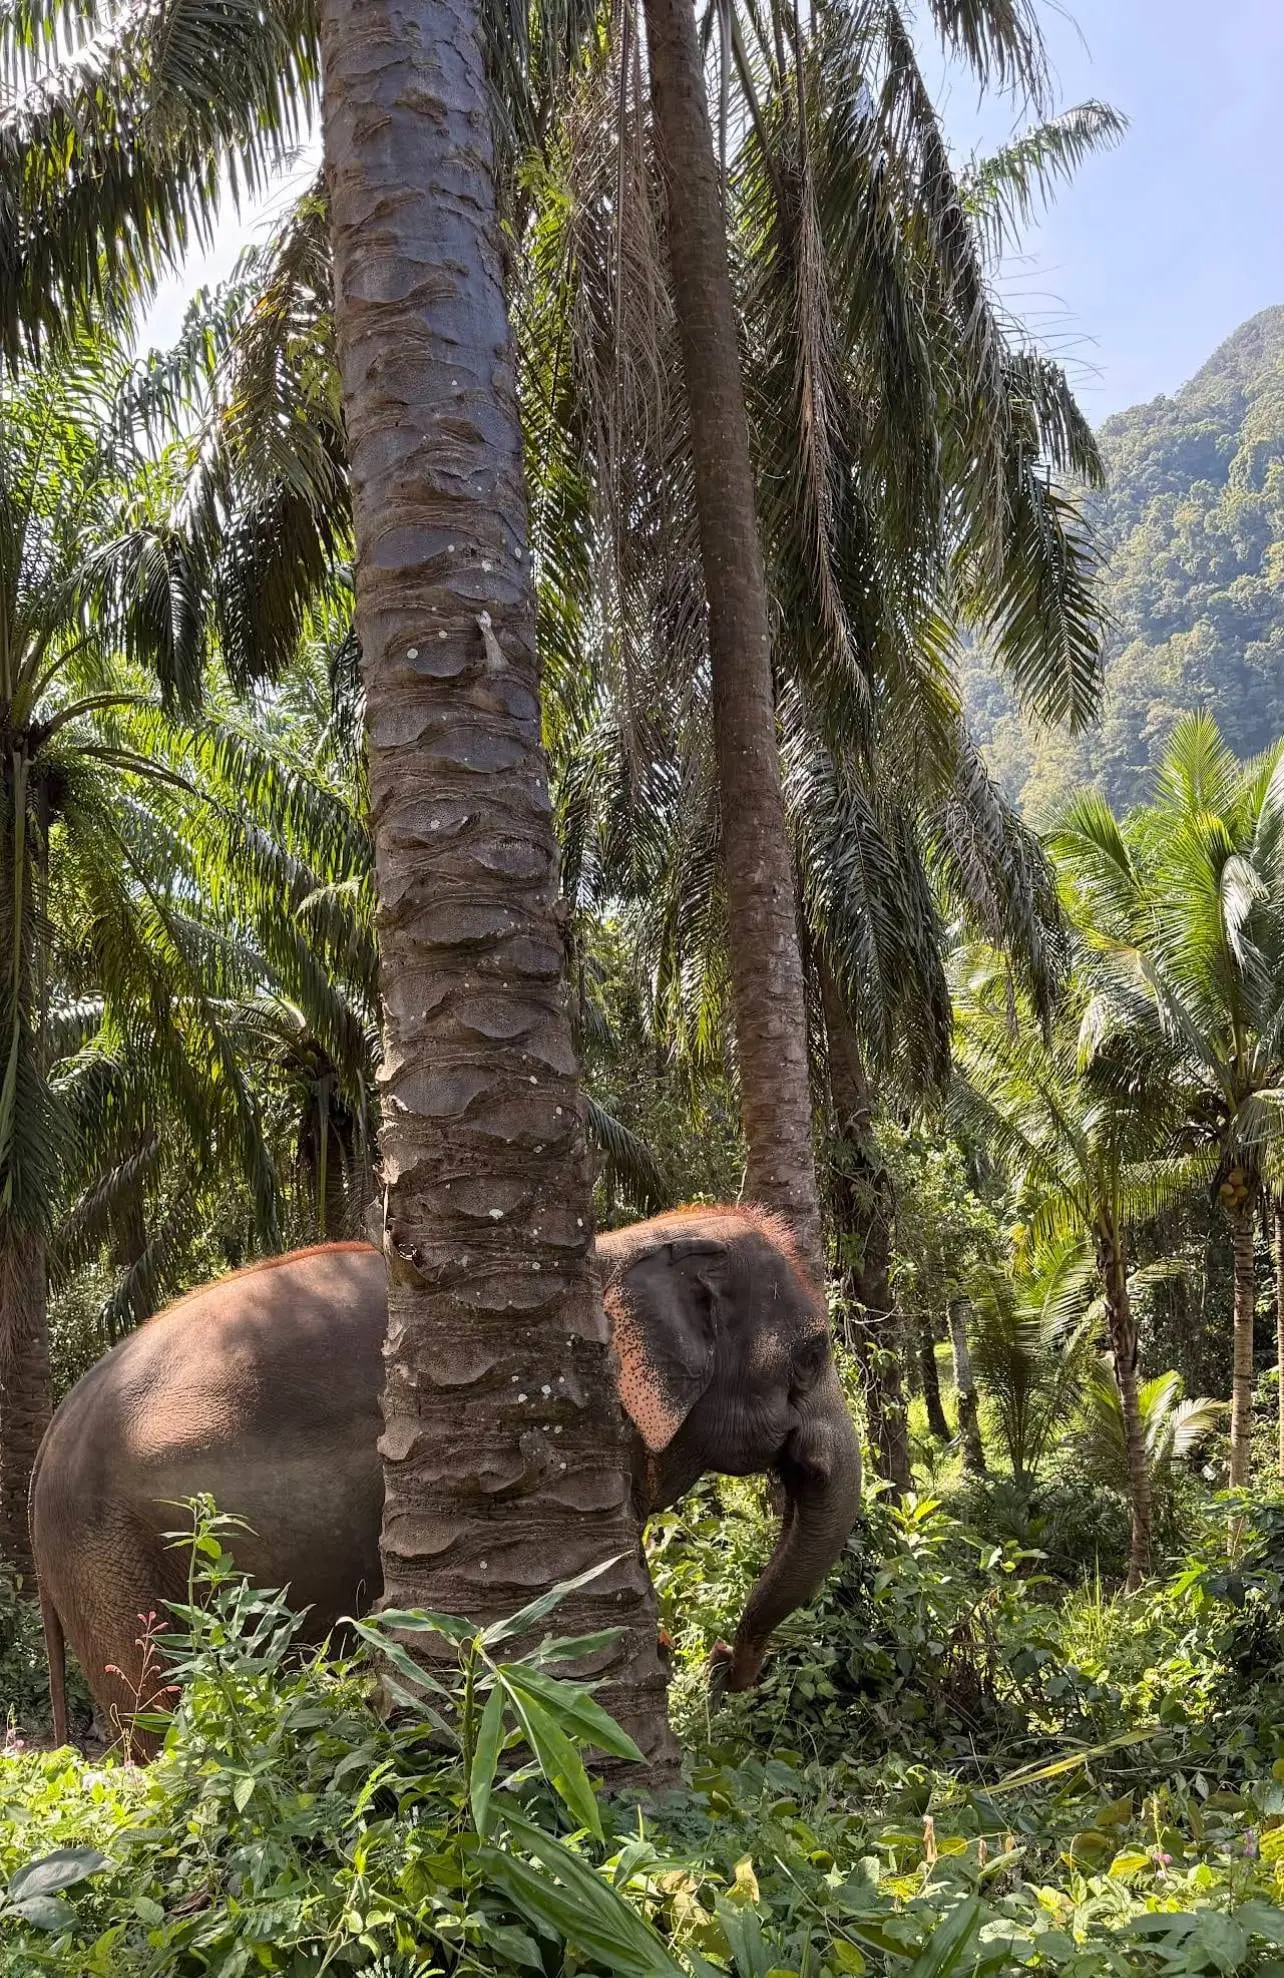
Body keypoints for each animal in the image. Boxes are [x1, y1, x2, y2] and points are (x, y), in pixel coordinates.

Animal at [31, 1202, 861, 1750]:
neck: (614, 1246)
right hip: (110, 1557)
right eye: (812, 1354)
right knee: (154, 1707)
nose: (721, 1661)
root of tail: (46, 1446)